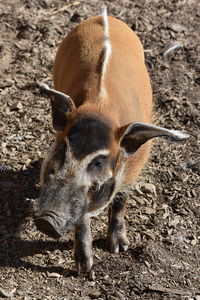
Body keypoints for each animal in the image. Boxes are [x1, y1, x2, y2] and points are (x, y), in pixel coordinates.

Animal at [34, 8, 189, 274]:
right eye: (62, 150)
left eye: (98, 162)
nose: (46, 221)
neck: (101, 107)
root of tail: (103, 15)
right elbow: (83, 217)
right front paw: (85, 270)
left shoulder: (133, 168)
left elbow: (119, 201)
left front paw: (118, 249)